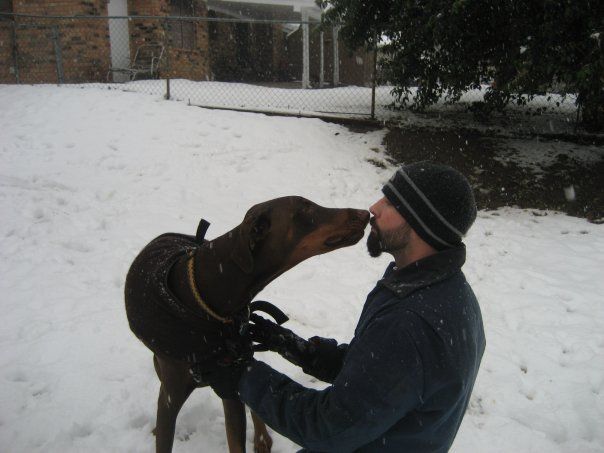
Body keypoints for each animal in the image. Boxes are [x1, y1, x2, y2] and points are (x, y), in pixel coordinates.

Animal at [124, 196, 368, 452]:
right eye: (305, 209)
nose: (366, 214)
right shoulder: (171, 397)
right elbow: (165, 431)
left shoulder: (231, 379)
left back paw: (261, 439)